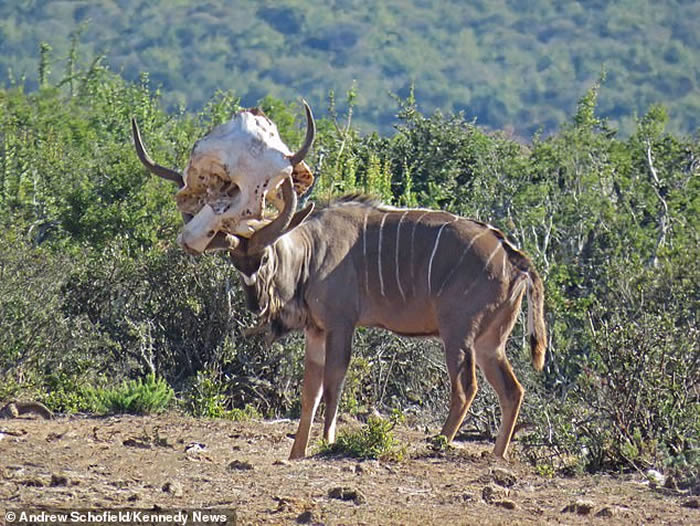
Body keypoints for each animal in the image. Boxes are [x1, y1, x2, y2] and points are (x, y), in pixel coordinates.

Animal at [131, 108, 548, 462]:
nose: (254, 302)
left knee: (466, 387)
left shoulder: (341, 325)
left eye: (263, 258)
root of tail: (514, 257)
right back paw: (497, 455)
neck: (311, 251)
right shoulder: (315, 332)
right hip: (490, 340)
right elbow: (309, 392)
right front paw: (296, 451)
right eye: (235, 261)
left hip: (457, 332)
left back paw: (438, 444)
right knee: (512, 390)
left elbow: (333, 385)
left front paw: (327, 442)